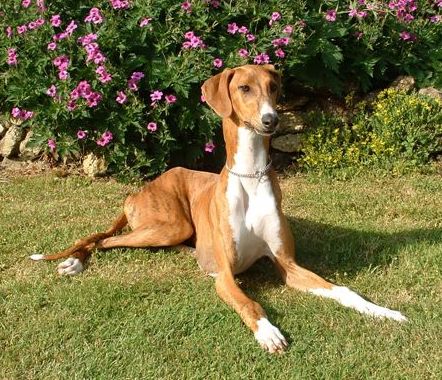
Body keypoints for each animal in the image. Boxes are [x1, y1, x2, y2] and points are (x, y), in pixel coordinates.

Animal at [29, 63, 406, 352]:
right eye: (244, 88)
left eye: (273, 88)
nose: (271, 120)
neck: (251, 176)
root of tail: (138, 191)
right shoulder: (226, 275)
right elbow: (249, 302)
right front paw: (268, 332)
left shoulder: (288, 265)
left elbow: (343, 290)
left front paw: (381, 311)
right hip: (169, 225)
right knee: (102, 239)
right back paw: (74, 263)